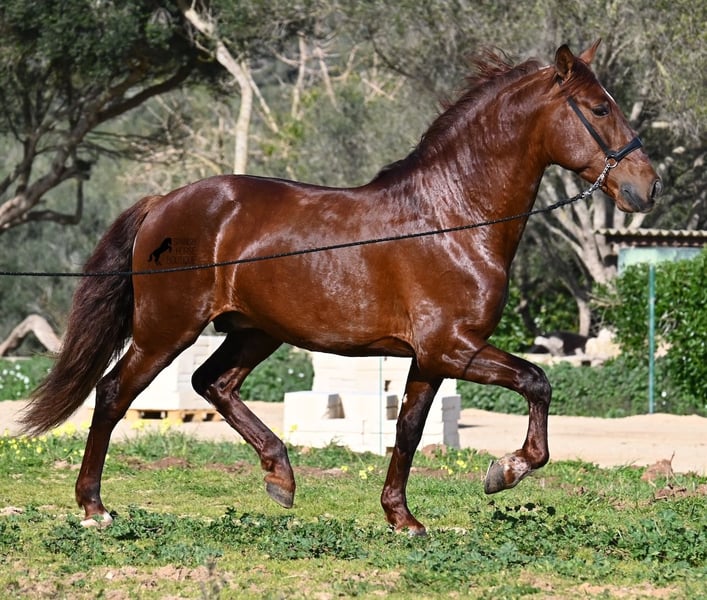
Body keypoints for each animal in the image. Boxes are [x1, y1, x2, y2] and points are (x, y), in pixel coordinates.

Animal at [20, 41, 661, 534]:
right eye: (600, 108)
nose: (647, 186)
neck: (454, 219)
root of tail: (163, 203)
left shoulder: (430, 358)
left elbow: (408, 430)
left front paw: (402, 518)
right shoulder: (453, 347)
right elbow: (537, 381)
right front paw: (505, 471)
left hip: (254, 332)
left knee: (212, 383)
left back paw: (280, 476)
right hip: (166, 329)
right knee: (113, 394)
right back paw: (94, 508)